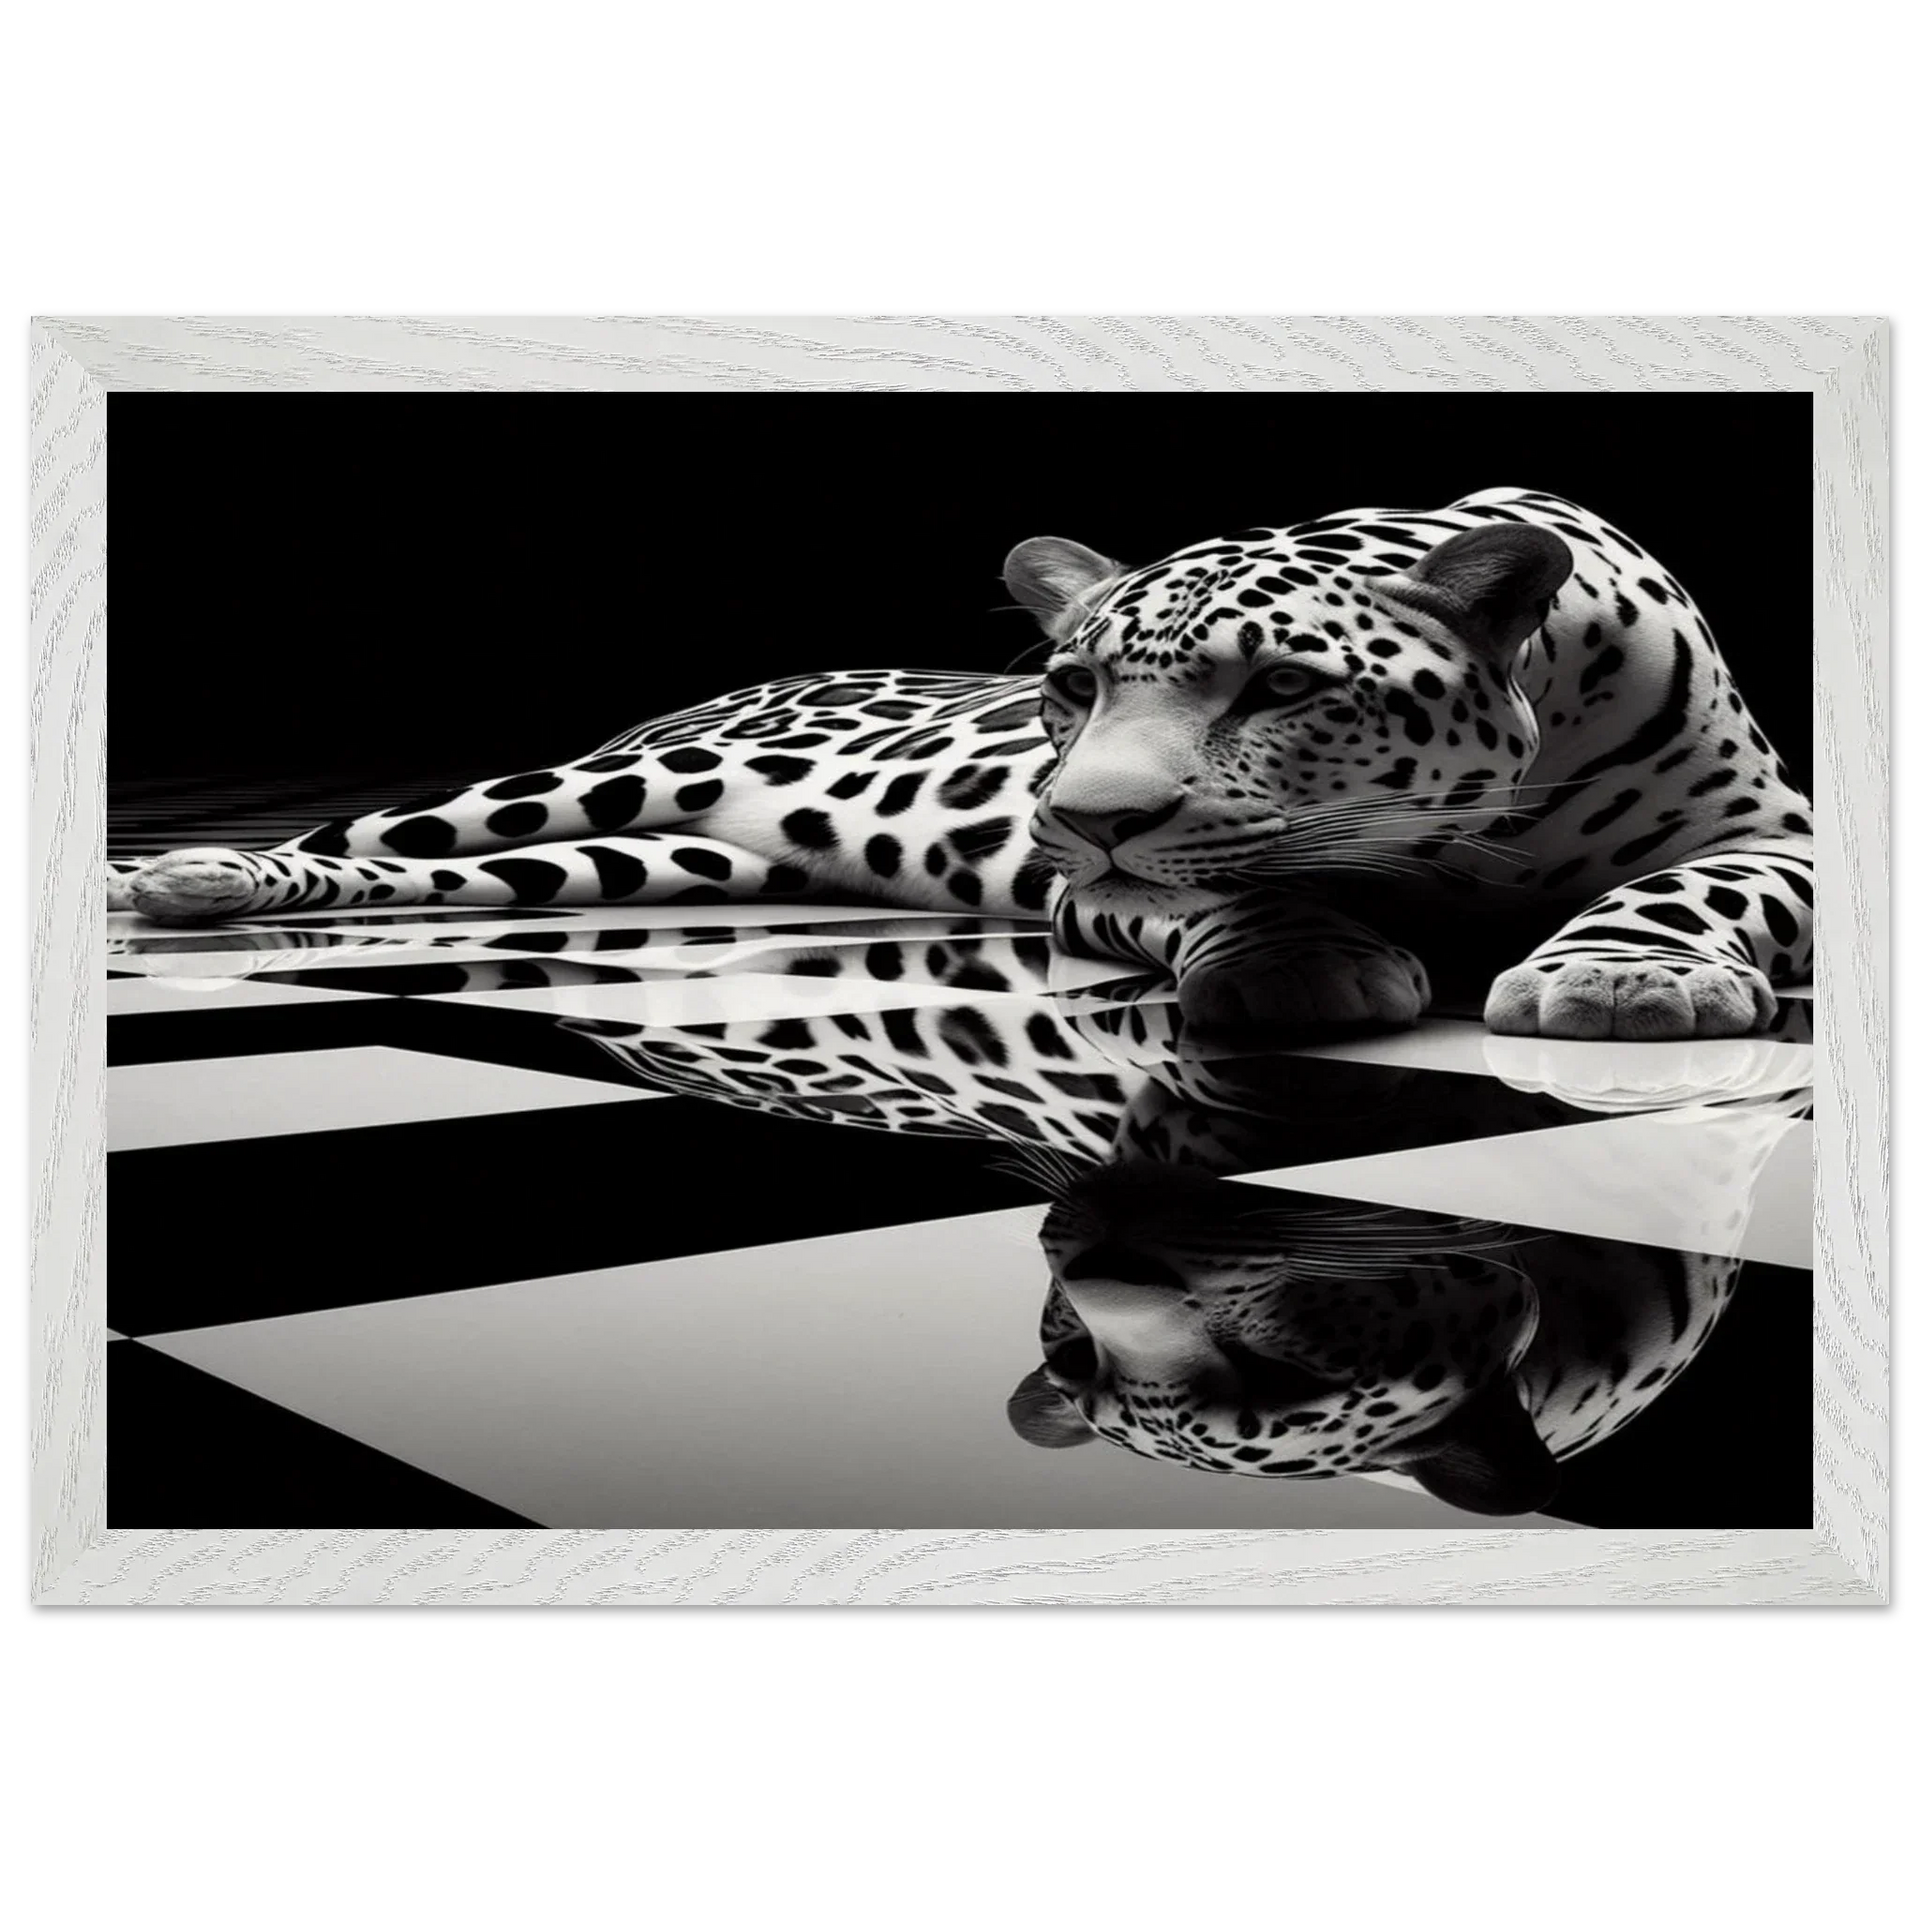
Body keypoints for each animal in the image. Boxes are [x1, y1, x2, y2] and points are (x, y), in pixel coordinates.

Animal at [110, 487, 1814, 1041]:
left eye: (1279, 685)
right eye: (1068, 687)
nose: (1082, 813)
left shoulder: (1784, 839)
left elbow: (1692, 889)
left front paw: (1626, 977)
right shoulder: (1092, 894)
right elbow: (1229, 891)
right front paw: (1300, 962)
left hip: (653, 859)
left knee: (475, 875)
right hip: (590, 789)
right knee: (378, 831)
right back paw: (190, 877)